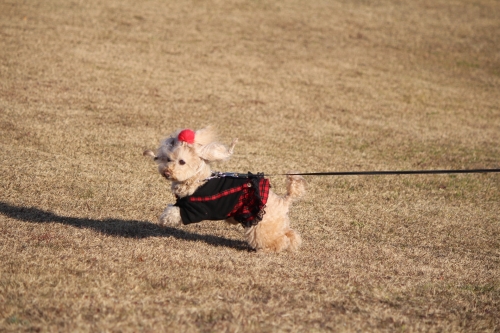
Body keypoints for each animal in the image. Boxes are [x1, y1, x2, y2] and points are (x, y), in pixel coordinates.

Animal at [144, 127, 304, 252]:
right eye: (168, 159)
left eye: (182, 162)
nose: (166, 172)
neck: (197, 180)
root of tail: (284, 201)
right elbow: (171, 208)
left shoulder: (193, 209)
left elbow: (173, 213)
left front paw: (163, 221)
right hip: (276, 223)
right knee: (291, 234)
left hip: (262, 225)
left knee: (278, 239)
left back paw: (269, 249)